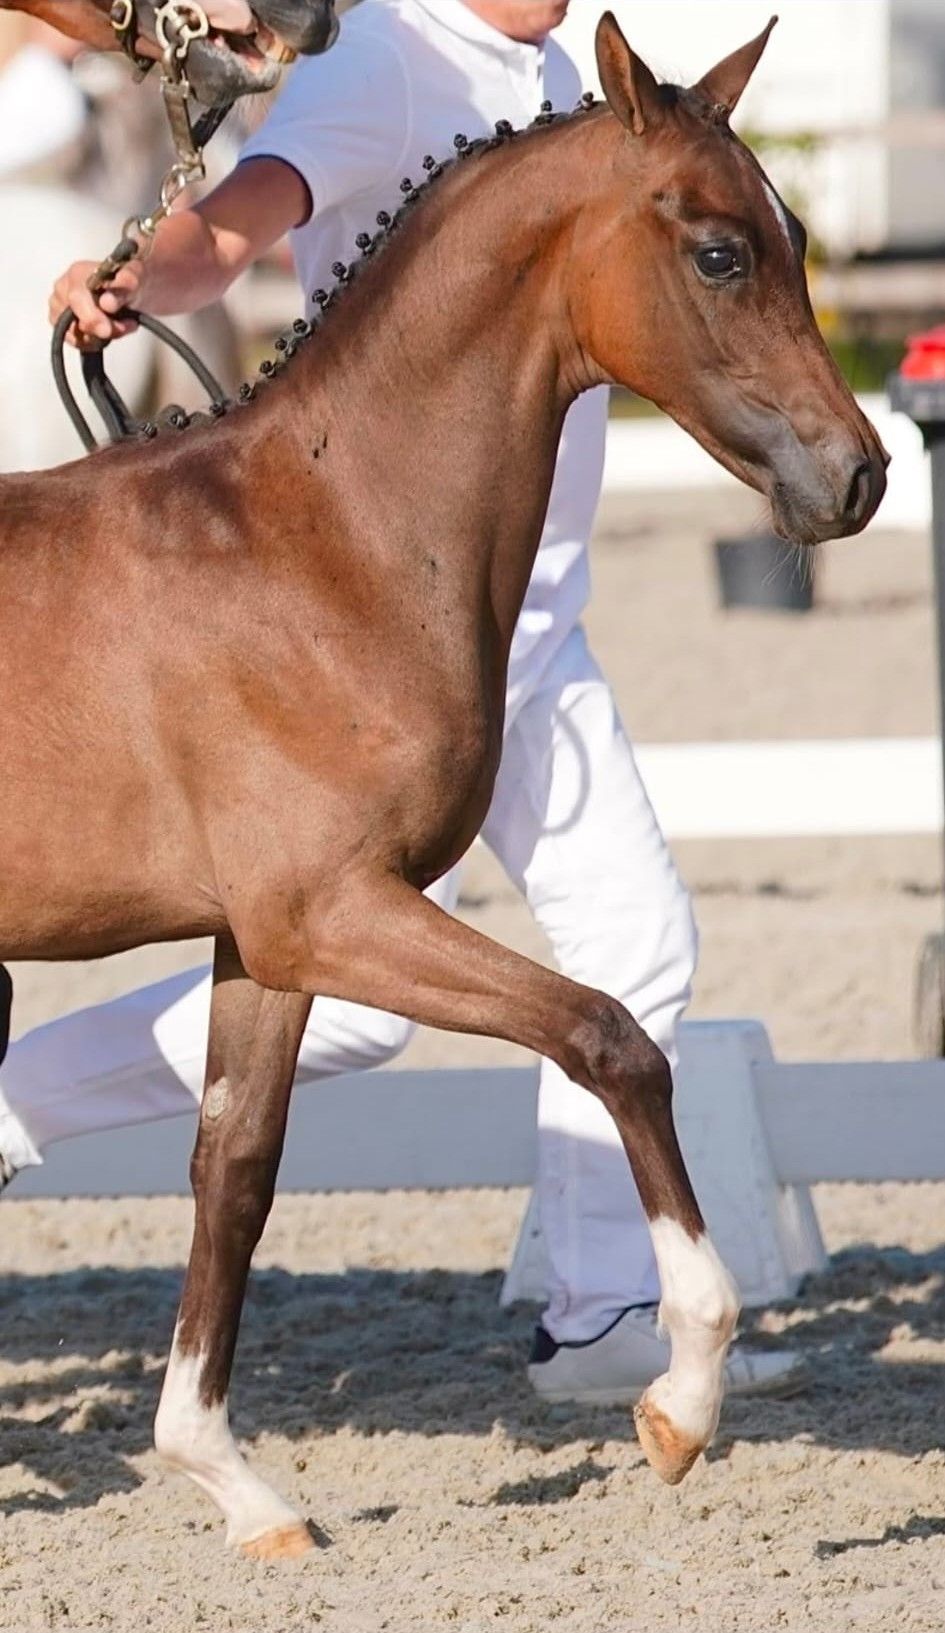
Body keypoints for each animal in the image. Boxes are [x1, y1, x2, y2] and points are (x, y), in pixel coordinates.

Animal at [0, 11, 887, 1557]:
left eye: (790, 234)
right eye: (721, 252)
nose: (858, 477)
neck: (324, 541)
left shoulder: (265, 946)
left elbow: (235, 1172)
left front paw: (233, 1484)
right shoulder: (331, 913)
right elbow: (611, 1038)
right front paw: (682, 1399)